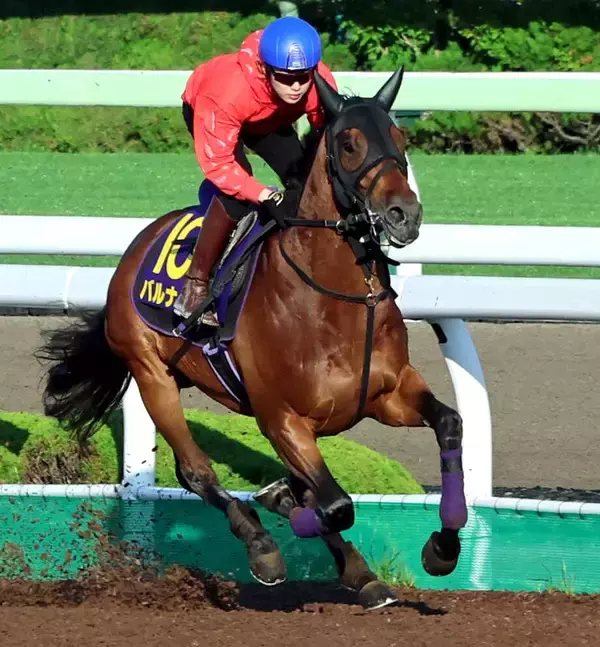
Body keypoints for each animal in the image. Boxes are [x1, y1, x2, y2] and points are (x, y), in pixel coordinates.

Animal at [35, 67, 467, 610]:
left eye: (400, 138)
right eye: (349, 143)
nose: (402, 214)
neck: (336, 302)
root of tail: (136, 248)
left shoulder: (387, 394)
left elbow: (448, 424)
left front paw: (442, 549)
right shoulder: (280, 417)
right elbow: (337, 504)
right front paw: (279, 517)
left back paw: (354, 568)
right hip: (151, 373)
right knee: (196, 471)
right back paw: (263, 545)